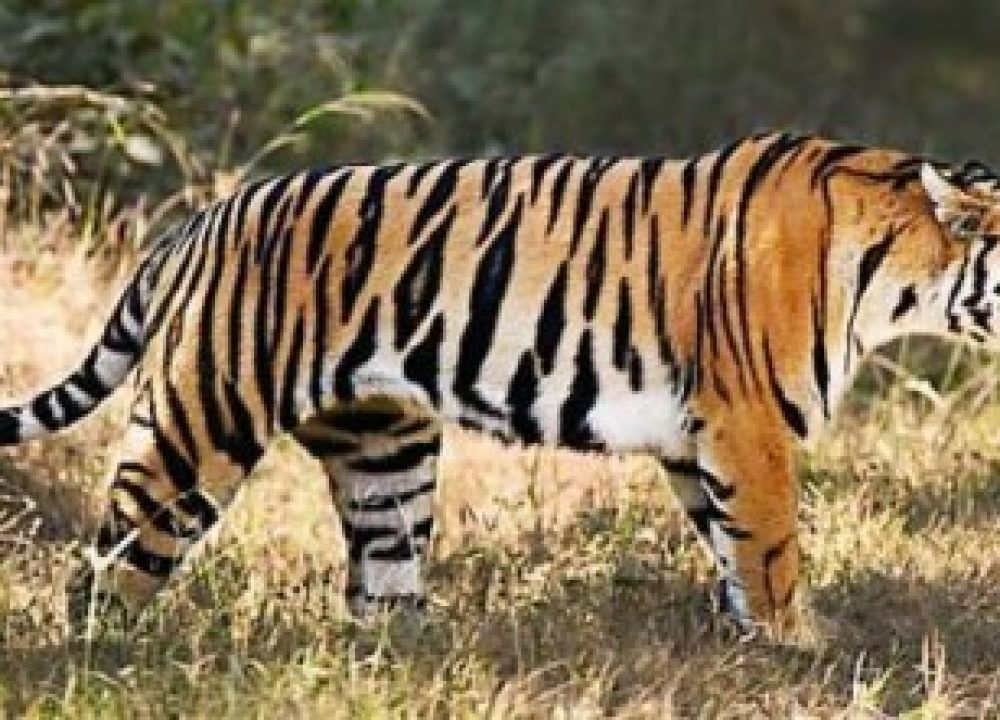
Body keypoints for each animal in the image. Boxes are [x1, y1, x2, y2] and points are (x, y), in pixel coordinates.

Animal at [2, 131, 1000, 643]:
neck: (905, 270)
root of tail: (197, 223)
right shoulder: (745, 422)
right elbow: (770, 547)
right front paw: (799, 654)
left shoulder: (698, 436)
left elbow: (731, 548)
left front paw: (748, 644)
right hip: (196, 426)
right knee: (106, 567)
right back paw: (100, 662)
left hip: (386, 452)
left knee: (381, 584)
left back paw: (410, 659)